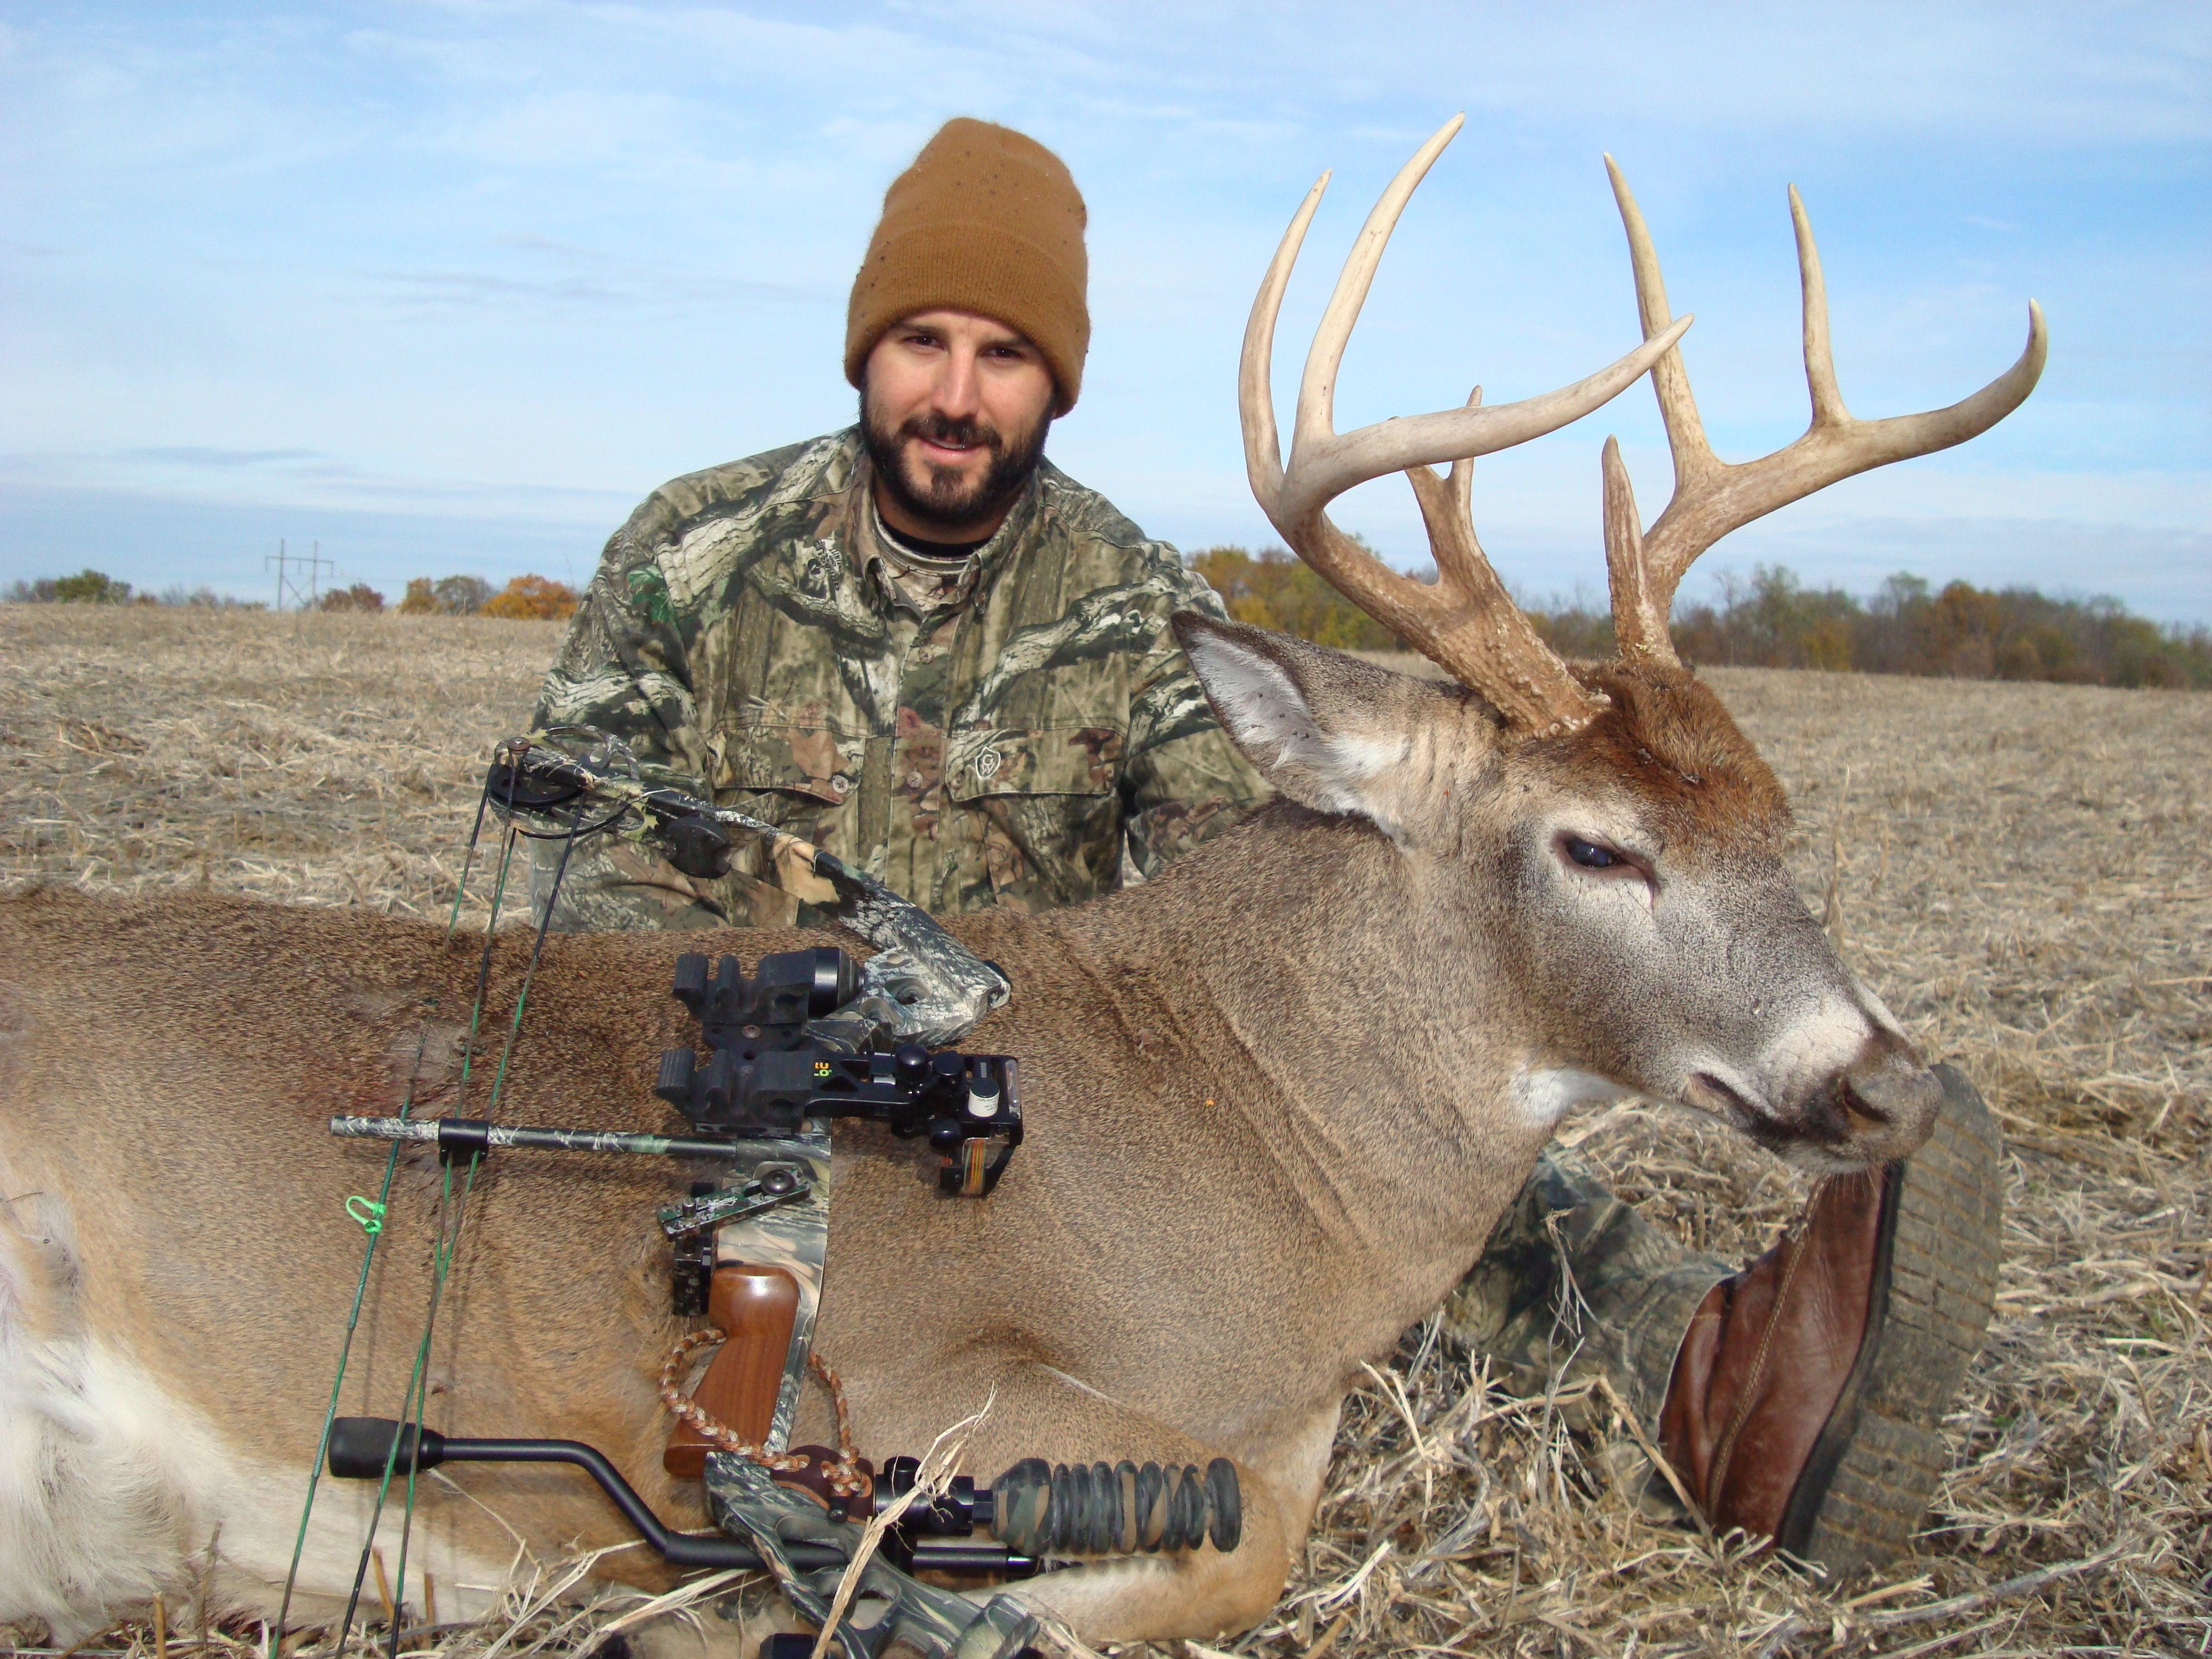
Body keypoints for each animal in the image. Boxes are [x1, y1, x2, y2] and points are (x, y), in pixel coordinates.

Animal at [0, 115, 2041, 1649]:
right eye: (1599, 844)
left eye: (1780, 817)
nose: (1883, 1081)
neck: (1267, 1181)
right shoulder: (907, 1375)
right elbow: (1235, 1541)